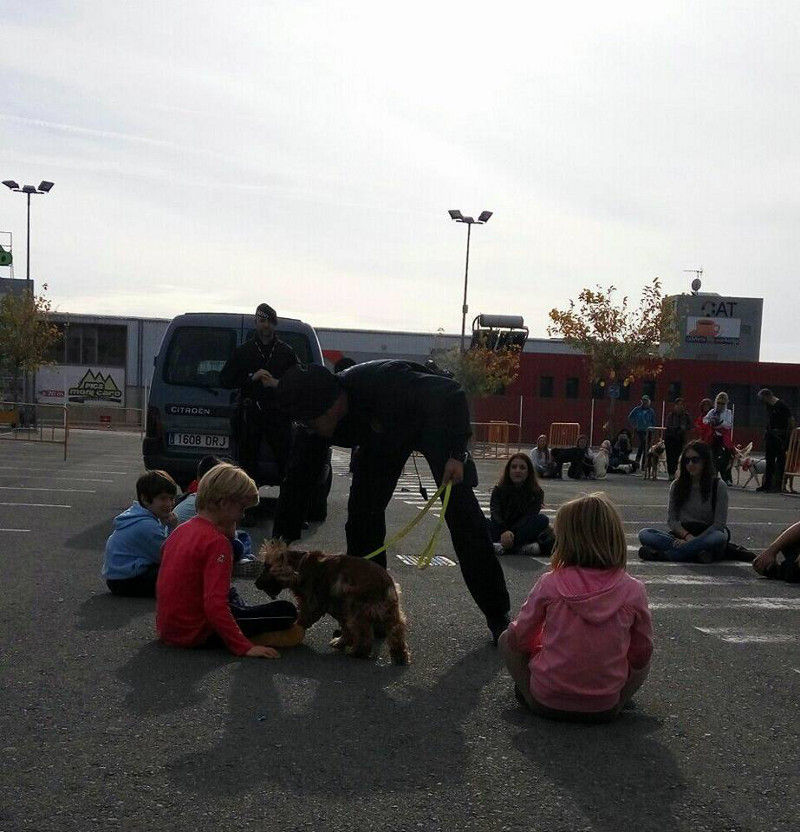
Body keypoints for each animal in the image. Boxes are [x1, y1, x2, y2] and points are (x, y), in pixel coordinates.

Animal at [255, 540, 410, 664]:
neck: (299, 565)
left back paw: (358, 652)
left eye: (267, 566)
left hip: (356, 610)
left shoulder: (313, 603)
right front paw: (341, 640)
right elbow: (345, 628)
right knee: (396, 632)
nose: (256, 584)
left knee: (364, 635)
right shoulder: (336, 606)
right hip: (389, 613)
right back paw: (400, 656)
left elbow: (303, 618)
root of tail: (386, 583)